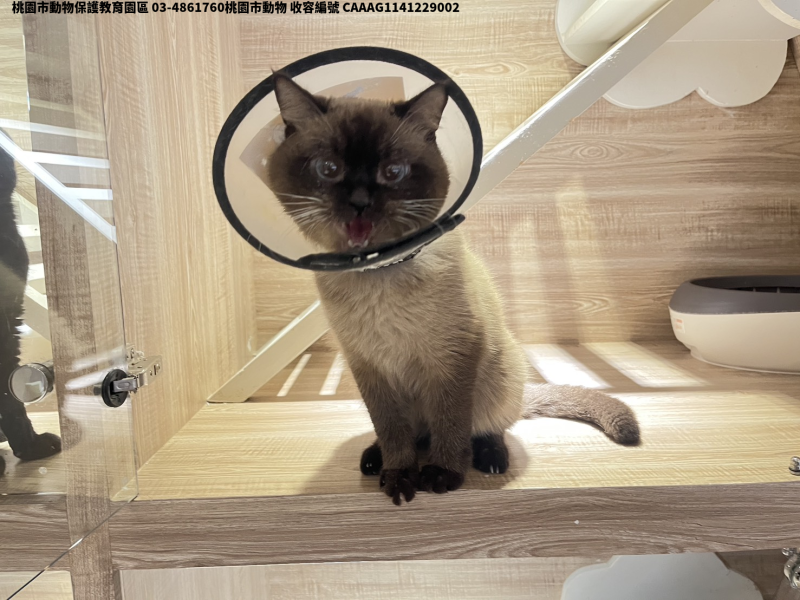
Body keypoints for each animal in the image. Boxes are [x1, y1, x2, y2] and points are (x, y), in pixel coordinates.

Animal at [268, 74, 639, 505]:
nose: (360, 202)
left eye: (393, 171)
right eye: (329, 169)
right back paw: (376, 459)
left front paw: (442, 476)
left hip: (501, 372)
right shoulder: (369, 368)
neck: (381, 276)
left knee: (486, 426)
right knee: (412, 435)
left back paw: (489, 458)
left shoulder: (453, 359)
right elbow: (391, 429)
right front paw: (399, 477)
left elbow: (451, 423)